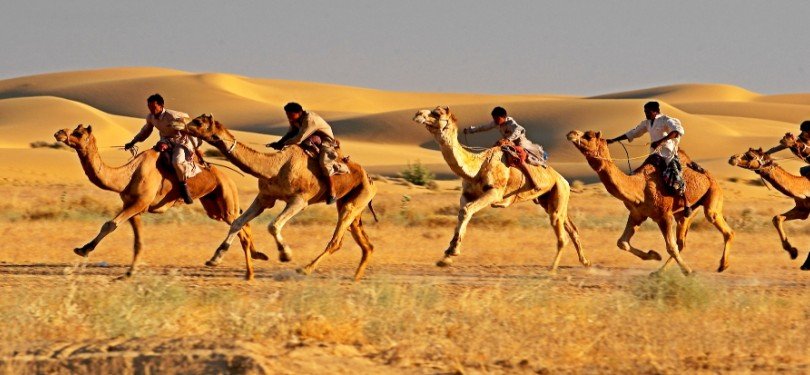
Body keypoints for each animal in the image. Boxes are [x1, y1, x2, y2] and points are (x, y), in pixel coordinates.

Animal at [54, 124, 268, 280]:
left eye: (79, 132)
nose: (59, 133)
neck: (127, 175)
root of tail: (229, 178)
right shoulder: (133, 207)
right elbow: (138, 241)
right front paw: (129, 273)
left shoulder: (139, 203)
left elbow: (110, 224)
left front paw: (83, 249)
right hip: (213, 206)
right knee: (242, 223)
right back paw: (255, 261)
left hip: (227, 196)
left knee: (240, 226)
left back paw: (243, 270)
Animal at [181, 114, 378, 282]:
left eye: (198, 122)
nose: (183, 126)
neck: (275, 167)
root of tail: (369, 178)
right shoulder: (265, 197)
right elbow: (237, 222)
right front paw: (215, 258)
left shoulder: (300, 200)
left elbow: (273, 225)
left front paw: (285, 254)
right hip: (350, 203)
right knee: (364, 242)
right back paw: (356, 277)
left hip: (356, 199)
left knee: (336, 240)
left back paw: (304, 269)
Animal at [410, 107, 588, 272]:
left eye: (437, 113)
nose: (418, 114)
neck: (477, 167)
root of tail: (564, 180)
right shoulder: (466, 194)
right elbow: (462, 213)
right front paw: (446, 257)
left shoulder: (494, 192)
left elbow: (468, 210)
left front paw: (452, 252)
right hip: (548, 200)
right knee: (571, 227)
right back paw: (584, 261)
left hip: (559, 192)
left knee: (561, 233)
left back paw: (552, 268)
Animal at [564, 131, 736, 274]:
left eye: (588, 136)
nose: (571, 133)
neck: (639, 187)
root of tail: (709, 176)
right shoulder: (637, 214)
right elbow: (622, 242)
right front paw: (654, 255)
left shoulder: (664, 216)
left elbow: (670, 247)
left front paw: (688, 271)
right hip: (686, 212)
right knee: (682, 241)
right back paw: (660, 271)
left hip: (713, 194)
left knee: (719, 224)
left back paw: (722, 265)